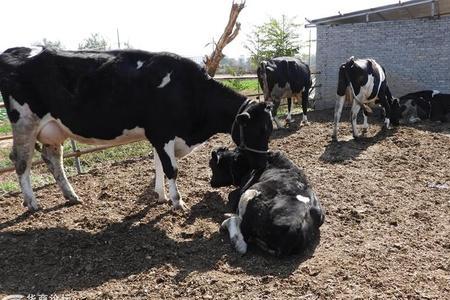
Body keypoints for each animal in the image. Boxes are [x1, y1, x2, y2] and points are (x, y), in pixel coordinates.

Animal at [0, 46, 272, 211]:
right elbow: (171, 169)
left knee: (52, 158)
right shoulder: (162, 133)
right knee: (21, 161)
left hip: (52, 129)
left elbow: (158, 165)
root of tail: (16, 50)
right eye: (258, 131)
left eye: (269, 130)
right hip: (25, 122)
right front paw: (177, 201)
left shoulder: (159, 136)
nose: (263, 164)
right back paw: (32, 203)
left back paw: (71, 196)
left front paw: (161, 195)